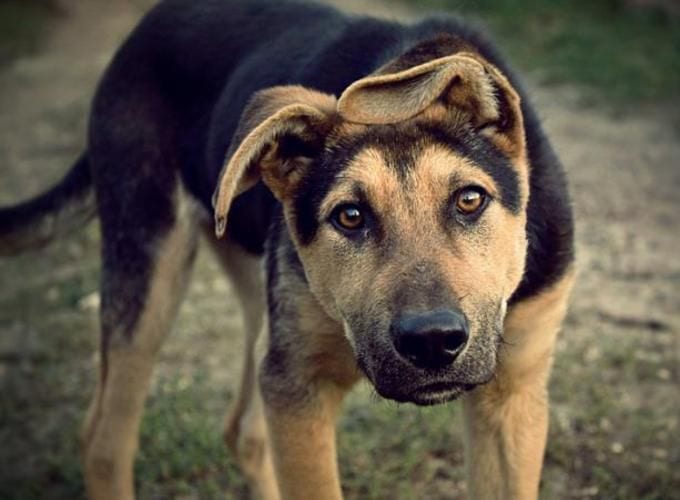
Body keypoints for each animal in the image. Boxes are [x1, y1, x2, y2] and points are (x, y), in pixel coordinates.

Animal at [1, 0, 572, 496]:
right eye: (349, 216)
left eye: (470, 199)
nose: (432, 342)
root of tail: (144, 28)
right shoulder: (298, 384)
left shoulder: (512, 392)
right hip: (148, 265)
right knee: (105, 443)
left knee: (243, 433)